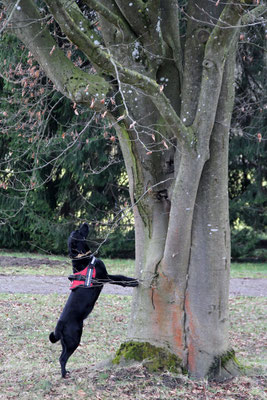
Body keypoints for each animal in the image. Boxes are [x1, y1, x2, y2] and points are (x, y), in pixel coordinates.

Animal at [49, 222, 139, 378]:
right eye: (79, 231)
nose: (86, 223)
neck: (82, 258)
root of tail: (59, 326)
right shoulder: (105, 277)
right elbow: (121, 278)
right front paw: (134, 282)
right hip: (74, 339)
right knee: (62, 358)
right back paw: (64, 374)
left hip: (66, 342)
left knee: (61, 356)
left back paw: (65, 372)